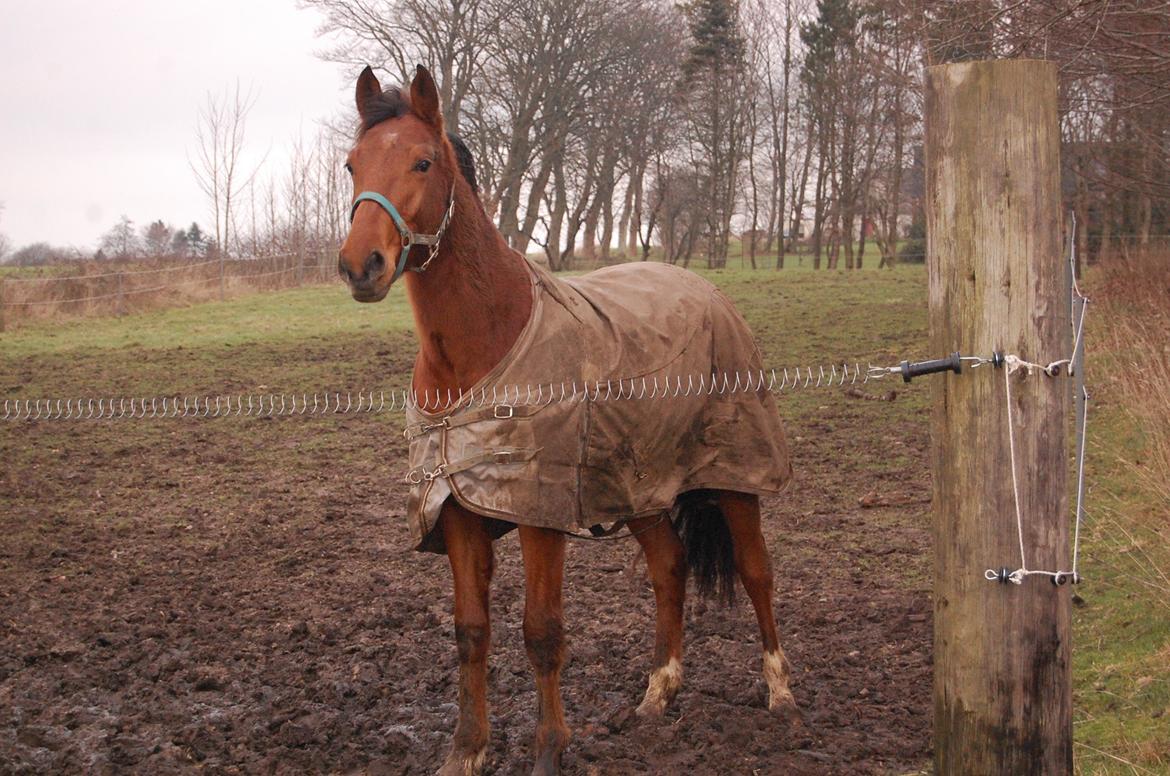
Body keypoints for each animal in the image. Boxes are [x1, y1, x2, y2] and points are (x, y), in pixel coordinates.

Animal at [334, 65, 800, 772]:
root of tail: (704, 288)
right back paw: (656, 696)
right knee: (670, 567)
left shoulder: (540, 512)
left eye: (422, 161)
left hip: (735, 475)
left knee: (756, 572)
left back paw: (780, 694)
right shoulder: (458, 510)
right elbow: (471, 633)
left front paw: (550, 751)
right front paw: (467, 751)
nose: (361, 266)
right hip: (640, 486)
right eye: (352, 164)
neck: (482, 344)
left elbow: (542, 633)